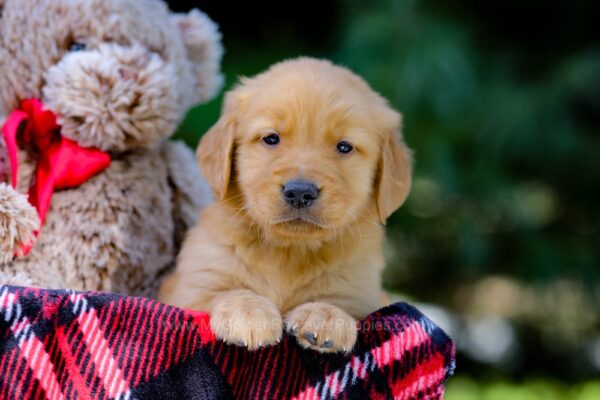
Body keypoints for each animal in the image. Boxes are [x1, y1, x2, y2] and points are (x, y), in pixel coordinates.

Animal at [159, 57, 412, 354]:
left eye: (344, 147)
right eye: (271, 138)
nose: (300, 192)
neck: (289, 252)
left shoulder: (362, 292)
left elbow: (339, 301)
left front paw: (326, 315)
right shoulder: (190, 286)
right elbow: (223, 291)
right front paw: (247, 311)